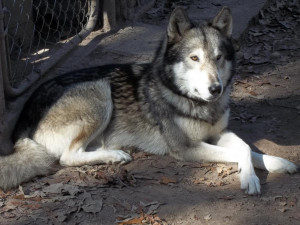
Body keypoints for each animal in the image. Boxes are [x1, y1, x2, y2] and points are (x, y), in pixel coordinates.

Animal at [0, 7, 298, 193]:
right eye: (194, 58)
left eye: (218, 57)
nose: (216, 88)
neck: (189, 99)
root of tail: (20, 127)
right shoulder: (185, 148)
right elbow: (237, 152)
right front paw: (250, 180)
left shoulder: (219, 132)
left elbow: (246, 148)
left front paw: (277, 164)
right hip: (99, 90)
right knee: (66, 158)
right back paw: (115, 156)